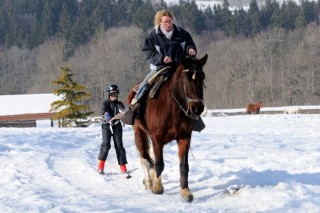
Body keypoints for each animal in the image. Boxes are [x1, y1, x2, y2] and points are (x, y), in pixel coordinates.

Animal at [127, 54, 208, 202]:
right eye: (186, 79)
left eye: (202, 77)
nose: (197, 108)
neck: (172, 107)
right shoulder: (157, 139)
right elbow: (159, 164)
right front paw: (158, 187)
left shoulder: (184, 138)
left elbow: (183, 166)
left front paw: (186, 192)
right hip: (139, 131)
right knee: (144, 157)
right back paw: (149, 182)